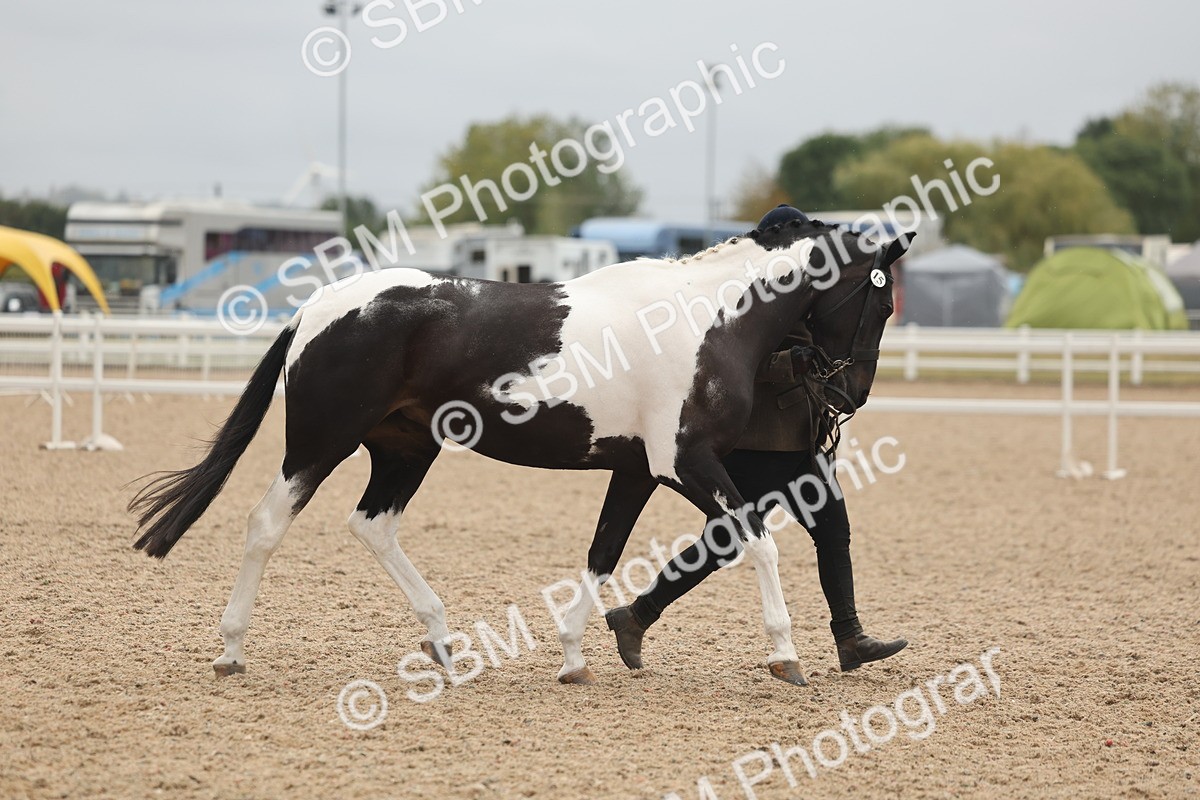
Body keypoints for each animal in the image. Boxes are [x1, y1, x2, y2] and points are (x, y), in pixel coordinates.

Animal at [130, 218, 907, 686]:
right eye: (881, 303)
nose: (852, 394)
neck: (702, 320)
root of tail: (317, 306)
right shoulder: (684, 463)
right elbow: (759, 544)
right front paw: (785, 655)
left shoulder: (637, 469)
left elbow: (603, 553)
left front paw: (574, 658)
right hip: (321, 443)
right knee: (266, 524)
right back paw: (232, 649)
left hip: (406, 448)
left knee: (372, 525)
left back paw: (443, 644)